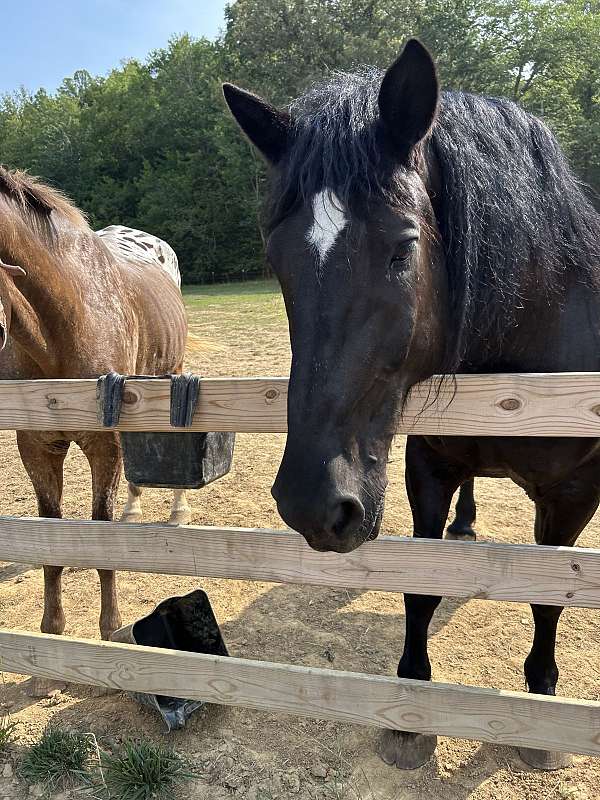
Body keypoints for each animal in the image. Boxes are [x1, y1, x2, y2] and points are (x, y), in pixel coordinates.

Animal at [0, 168, 187, 673]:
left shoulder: (105, 444)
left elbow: (101, 535)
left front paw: (110, 630)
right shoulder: (37, 446)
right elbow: (53, 537)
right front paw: (52, 631)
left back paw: (176, 510)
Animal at [223, 39, 600, 771]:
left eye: (403, 248)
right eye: (277, 260)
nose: (313, 503)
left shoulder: (573, 494)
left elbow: (550, 597)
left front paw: (541, 709)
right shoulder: (428, 466)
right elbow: (422, 586)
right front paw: (411, 713)